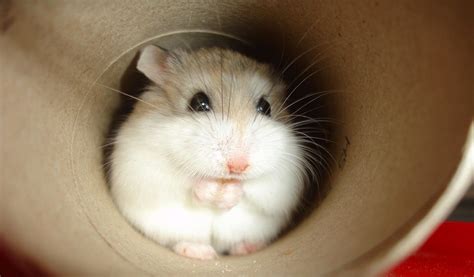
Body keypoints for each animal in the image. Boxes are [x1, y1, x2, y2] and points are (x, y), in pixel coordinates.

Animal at [108, 45, 308, 258]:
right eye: (198, 102)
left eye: (266, 107)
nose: (238, 166)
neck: (222, 178)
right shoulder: (143, 166)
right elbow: (185, 181)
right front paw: (213, 191)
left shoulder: (286, 175)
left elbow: (256, 187)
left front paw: (228, 192)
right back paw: (202, 252)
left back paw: (249, 247)